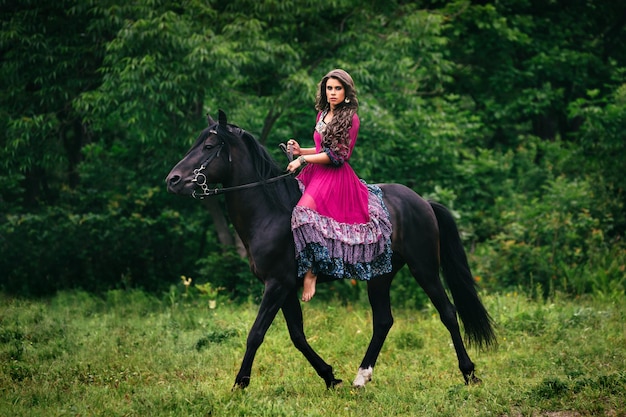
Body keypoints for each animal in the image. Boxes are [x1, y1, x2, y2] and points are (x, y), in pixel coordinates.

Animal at [165, 109, 492, 386]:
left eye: (209, 146)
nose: (173, 180)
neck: (270, 212)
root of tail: (422, 201)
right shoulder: (284, 287)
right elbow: (297, 336)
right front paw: (330, 376)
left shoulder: (276, 284)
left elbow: (256, 334)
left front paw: (240, 384)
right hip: (380, 274)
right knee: (383, 321)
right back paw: (361, 377)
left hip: (424, 267)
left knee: (447, 312)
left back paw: (469, 374)